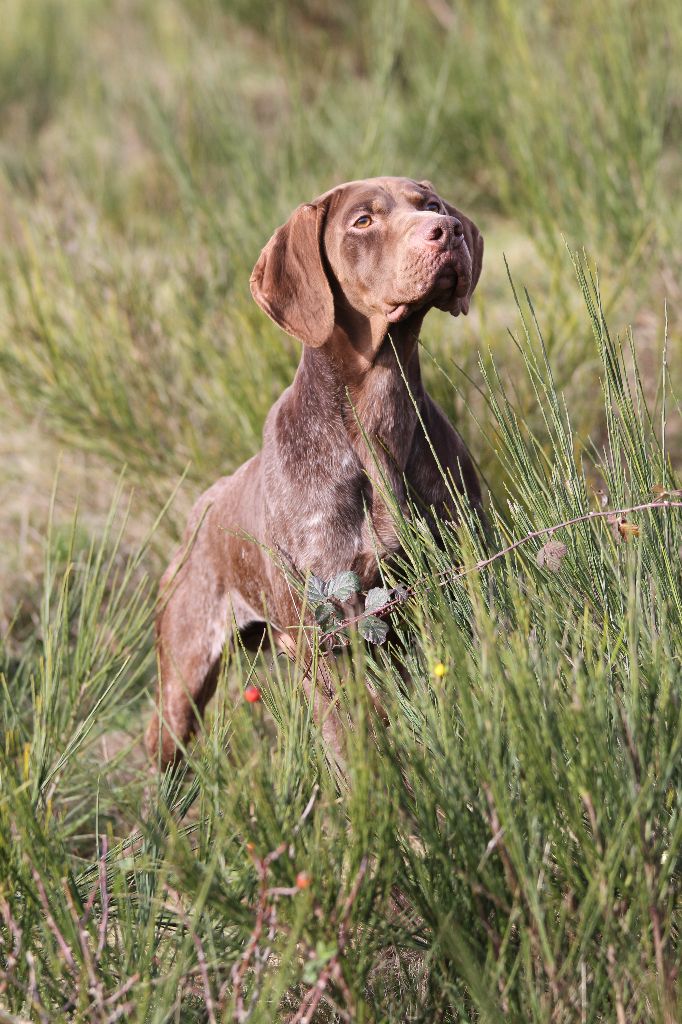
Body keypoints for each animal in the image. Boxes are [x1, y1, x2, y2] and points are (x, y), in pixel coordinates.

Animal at [145, 178, 481, 770]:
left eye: (431, 205)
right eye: (363, 221)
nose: (450, 231)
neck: (376, 419)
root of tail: (199, 510)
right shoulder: (324, 641)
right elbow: (360, 753)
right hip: (182, 679)